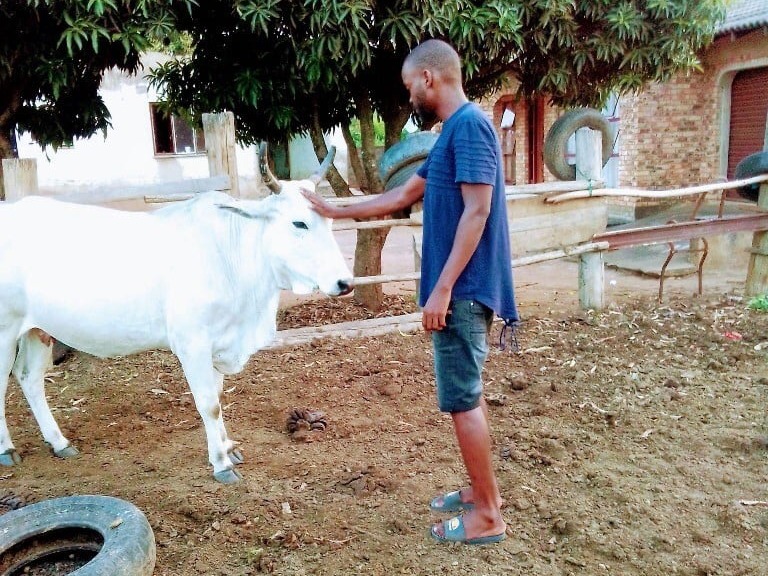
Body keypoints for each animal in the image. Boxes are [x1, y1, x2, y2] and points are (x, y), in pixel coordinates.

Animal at [0, 146, 352, 483]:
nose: (344, 282)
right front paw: (221, 464)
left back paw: (59, 442)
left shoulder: (219, 345)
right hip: (5, 330)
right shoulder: (192, 343)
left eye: (329, 221)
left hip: (38, 329)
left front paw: (228, 448)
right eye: (299, 222)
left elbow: (218, 397)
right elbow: (209, 404)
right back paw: (7, 449)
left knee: (29, 379)